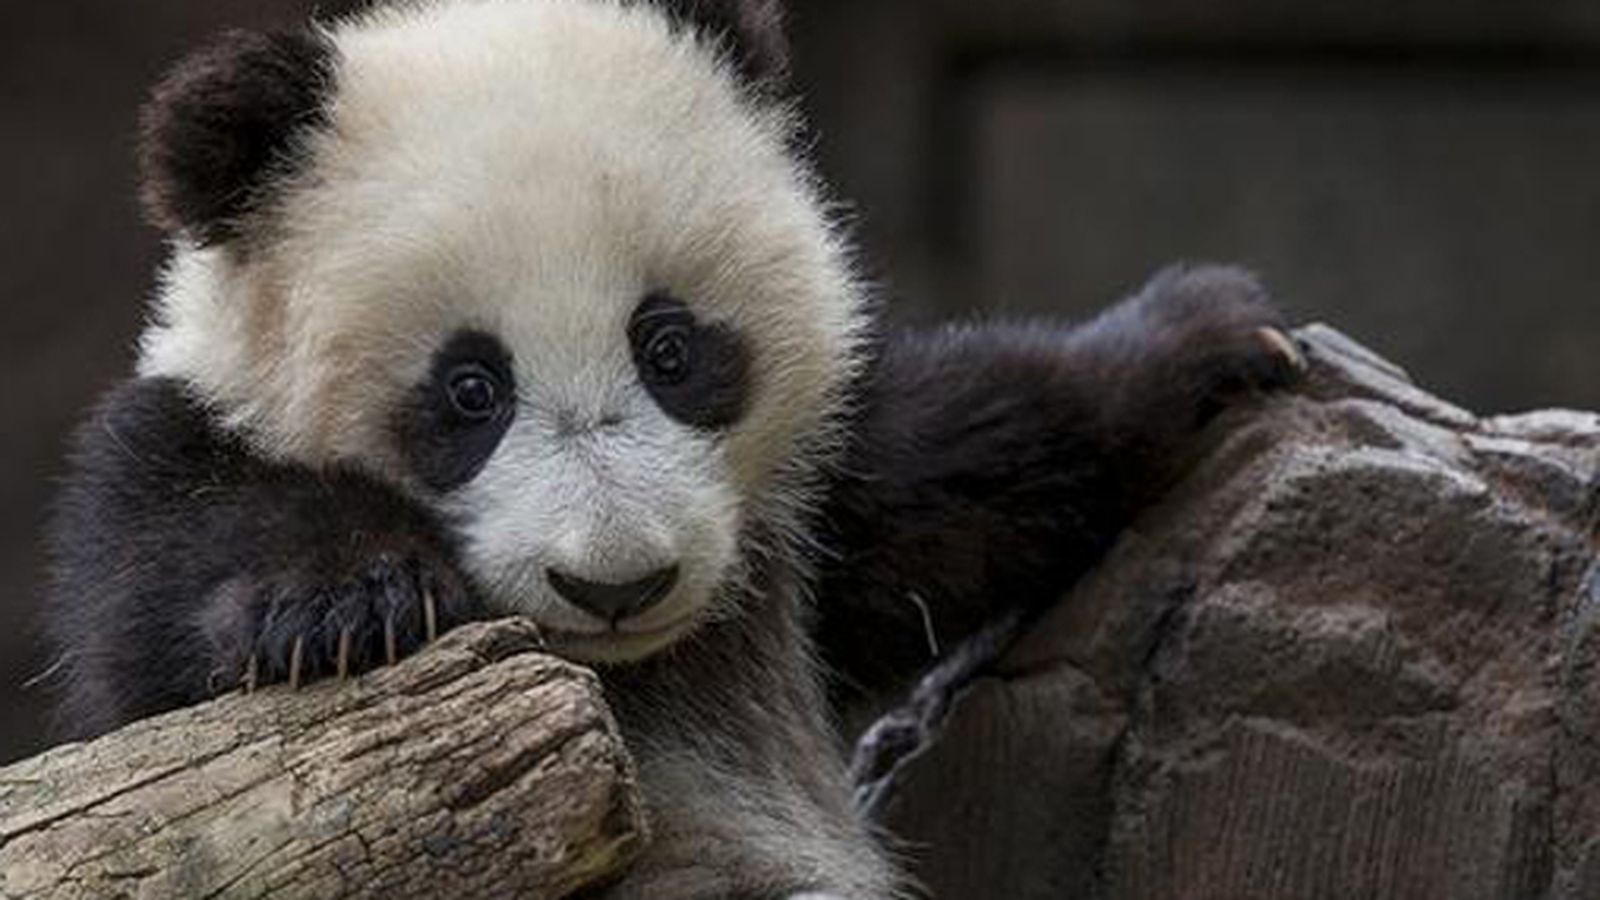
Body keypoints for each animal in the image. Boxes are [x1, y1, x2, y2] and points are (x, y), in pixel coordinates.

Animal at [44, 0, 1302, 897]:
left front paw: (1208, 336)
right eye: (468, 391)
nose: (618, 584)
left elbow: (954, 468)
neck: (623, 671)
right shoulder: (164, 464)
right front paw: (345, 605)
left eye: (670, 348)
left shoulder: (806, 509)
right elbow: (162, 650)